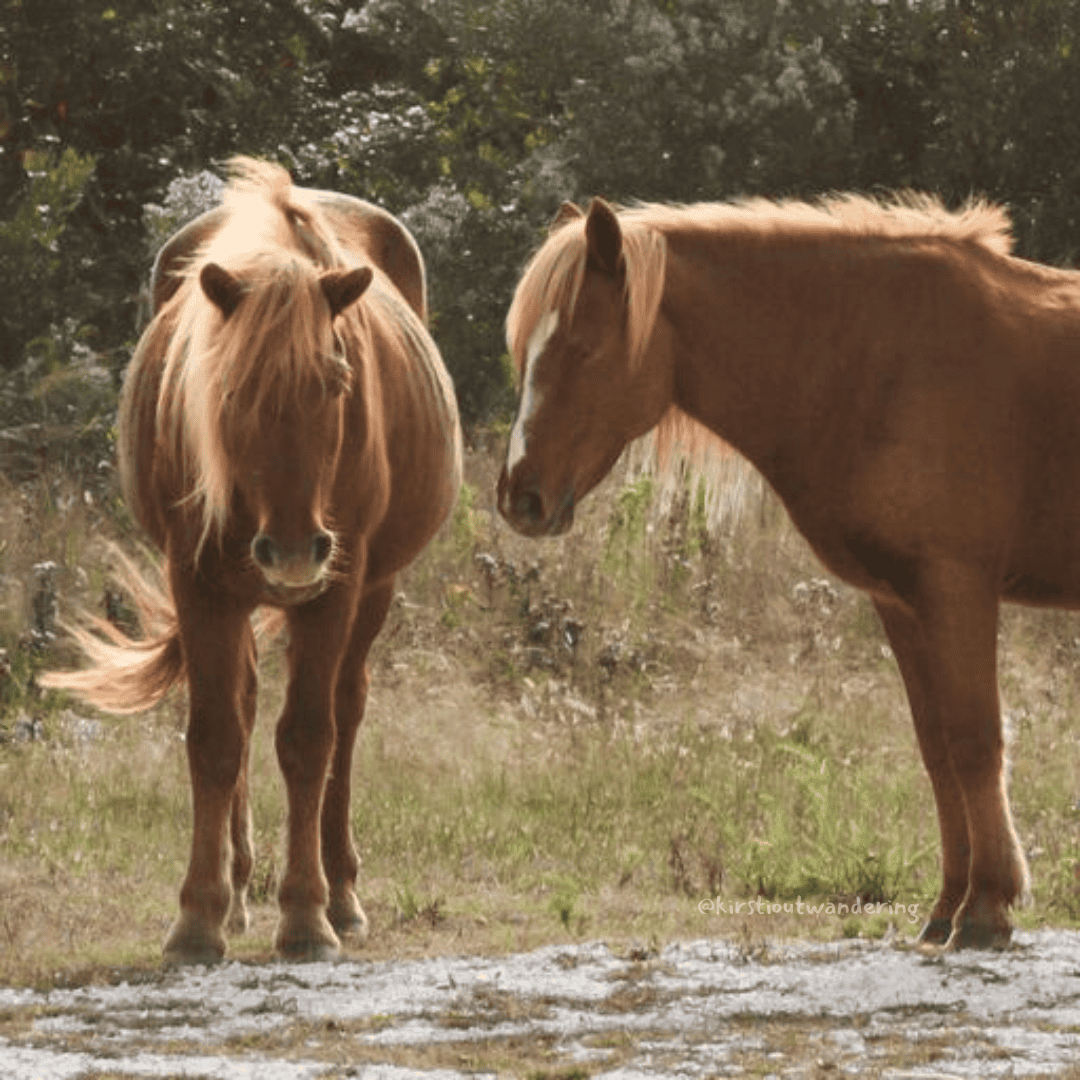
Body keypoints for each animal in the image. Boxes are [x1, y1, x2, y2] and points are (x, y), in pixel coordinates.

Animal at [43, 158, 462, 964]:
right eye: (231, 388)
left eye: (337, 382)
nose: (294, 550)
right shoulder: (198, 582)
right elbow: (215, 738)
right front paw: (200, 917)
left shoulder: (337, 588)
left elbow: (307, 738)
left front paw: (305, 916)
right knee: (240, 704)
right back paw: (238, 891)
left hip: (372, 590)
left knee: (345, 716)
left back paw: (342, 894)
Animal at [497, 192, 1080, 951]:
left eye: (583, 349)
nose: (520, 498)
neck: (877, 359)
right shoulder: (904, 603)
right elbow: (938, 751)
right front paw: (947, 907)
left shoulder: (958, 589)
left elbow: (975, 742)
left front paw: (986, 910)